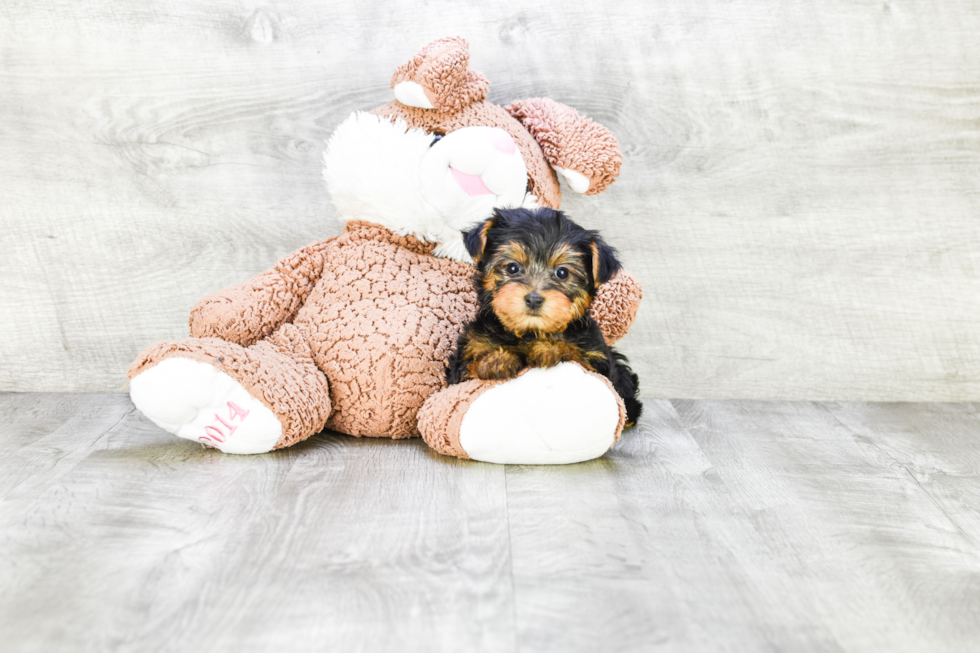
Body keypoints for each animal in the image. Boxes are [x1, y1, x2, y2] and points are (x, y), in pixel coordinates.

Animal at [446, 206, 644, 426]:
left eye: (562, 273)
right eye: (512, 268)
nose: (534, 299)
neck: (530, 332)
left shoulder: (597, 359)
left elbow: (578, 357)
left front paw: (549, 348)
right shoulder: (465, 356)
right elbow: (468, 367)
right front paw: (495, 359)